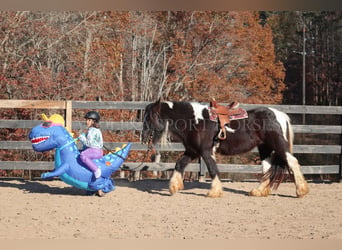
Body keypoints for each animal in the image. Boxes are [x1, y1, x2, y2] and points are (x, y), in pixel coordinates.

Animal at [140, 98, 308, 198]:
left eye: (149, 117)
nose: (143, 136)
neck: (194, 120)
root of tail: (279, 115)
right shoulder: (193, 151)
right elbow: (179, 164)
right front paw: (174, 187)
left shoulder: (205, 151)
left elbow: (212, 168)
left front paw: (214, 192)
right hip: (264, 148)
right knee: (267, 169)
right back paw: (258, 191)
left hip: (278, 145)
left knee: (292, 162)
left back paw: (301, 191)